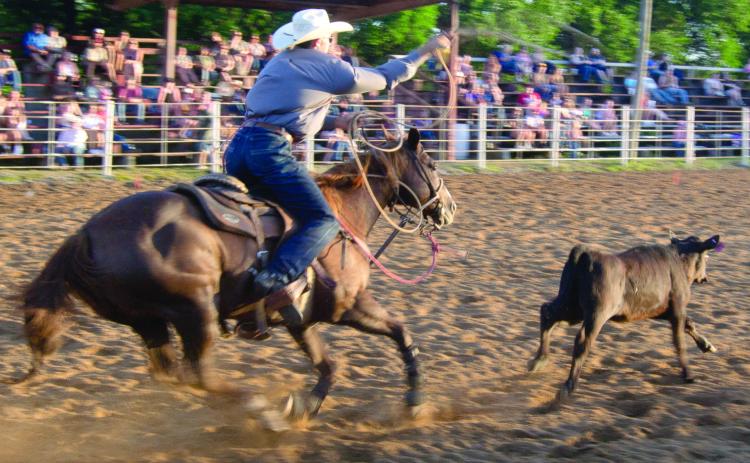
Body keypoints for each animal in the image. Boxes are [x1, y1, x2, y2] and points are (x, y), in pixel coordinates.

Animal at [528, 234, 722, 402]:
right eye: (706, 257)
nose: (705, 278)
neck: (678, 261)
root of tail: (585, 254)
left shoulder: (659, 310)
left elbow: (689, 324)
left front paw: (707, 345)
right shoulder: (677, 310)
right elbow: (679, 341)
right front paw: (688, 374)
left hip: (570, 306)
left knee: (547, 314)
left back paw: (539, 361)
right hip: (596, 314)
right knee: (582, 341)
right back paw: (569, 385)